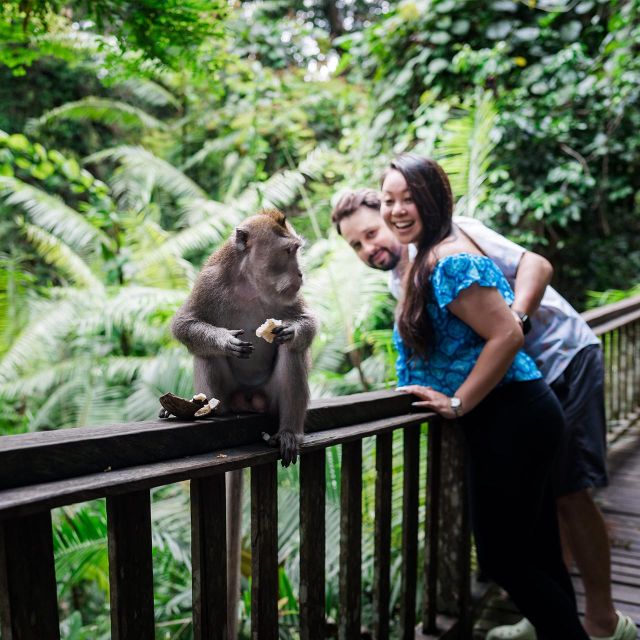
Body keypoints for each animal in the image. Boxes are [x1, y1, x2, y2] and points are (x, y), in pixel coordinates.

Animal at [169, 208, 316, 636]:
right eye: (289, 251)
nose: (301, 273)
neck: (250, 283)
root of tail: (248, 402)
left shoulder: (288, 302)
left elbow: (306, 325)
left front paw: (292, 329)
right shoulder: (209, 282)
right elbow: (184, 325)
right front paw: (223, 340)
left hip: (270, 397)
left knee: (292, 353)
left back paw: (288, 431)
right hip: (229, 392)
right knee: (204, 355)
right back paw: (208, 410)